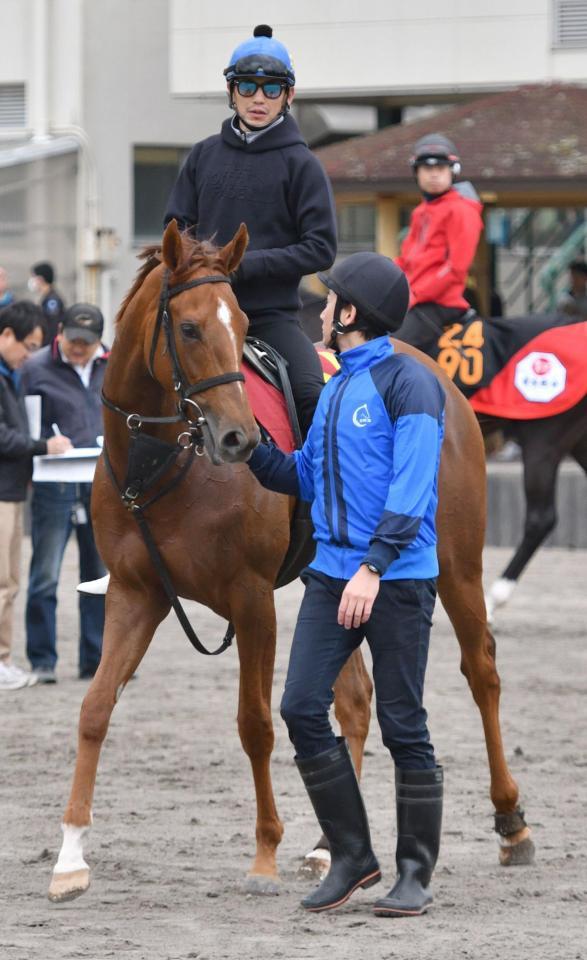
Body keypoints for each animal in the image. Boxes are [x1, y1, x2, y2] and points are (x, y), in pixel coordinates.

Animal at [46, 221, 532, 904]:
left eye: (243, 319)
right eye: (188, 328)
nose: (239, 439)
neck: (165, 464)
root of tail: (429, 370)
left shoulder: (251, 601)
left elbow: (255, 724)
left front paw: (263, 854)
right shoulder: (136, 595)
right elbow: (94, 709)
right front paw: (69, 857)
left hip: (457, 566)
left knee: (481, 670)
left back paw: (511, 821)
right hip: (336, 581)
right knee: (355, 698)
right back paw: (330, 846)